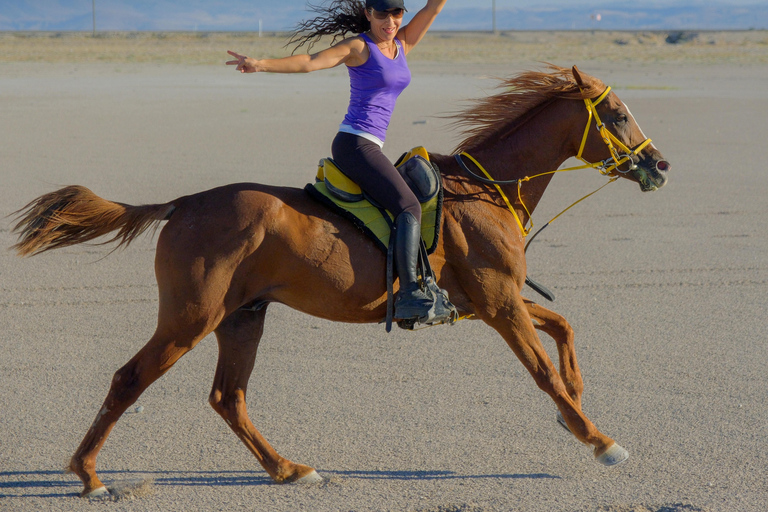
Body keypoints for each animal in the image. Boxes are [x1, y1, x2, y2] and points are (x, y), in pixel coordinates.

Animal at [13, 66, 672, 498]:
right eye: (616, 115)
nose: (659, 164)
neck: (483, 191)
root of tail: (184, 204)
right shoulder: (500, 303)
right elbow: (542, 371)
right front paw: (597, 438)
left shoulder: (492, 301)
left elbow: (563, 328)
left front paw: (574, 409)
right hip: (190, 317)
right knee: (131, 380)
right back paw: (90, 476)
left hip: (242, 316)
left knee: (229, 397)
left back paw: (288, 469)